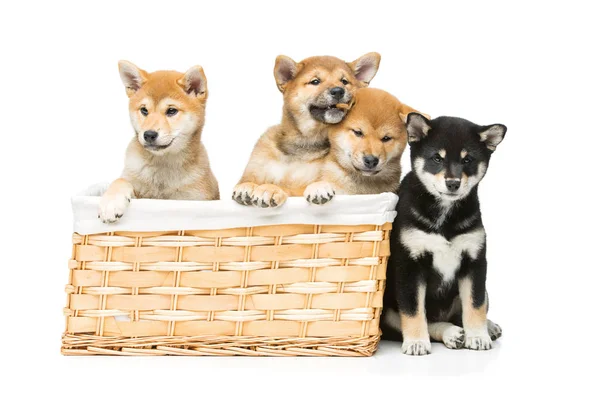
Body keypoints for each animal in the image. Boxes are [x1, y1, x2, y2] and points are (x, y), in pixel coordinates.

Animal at [97, 60, 219, 222]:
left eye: (171, 111)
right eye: (144, 110)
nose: (149, 134)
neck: (163, 165)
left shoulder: (195, 197)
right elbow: (120, 181)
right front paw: (111, 203)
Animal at [231, 52, 380, 208]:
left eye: (344, 81)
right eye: (315, 81)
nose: (338, 91)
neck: (304, 142)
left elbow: (290, 188)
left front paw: (270, 189)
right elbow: (248, 180)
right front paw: (246, 187)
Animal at [380, 114, 506, 354]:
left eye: (467, 160)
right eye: (437, 158)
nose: (453, 183)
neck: (444, 215)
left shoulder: (474, 262)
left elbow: (475, 304)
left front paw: (478, 336)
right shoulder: (409, 265)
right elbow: (413, 311)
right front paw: (417, 342)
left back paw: (487, 327)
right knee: (426, 321)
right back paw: (451, 333)